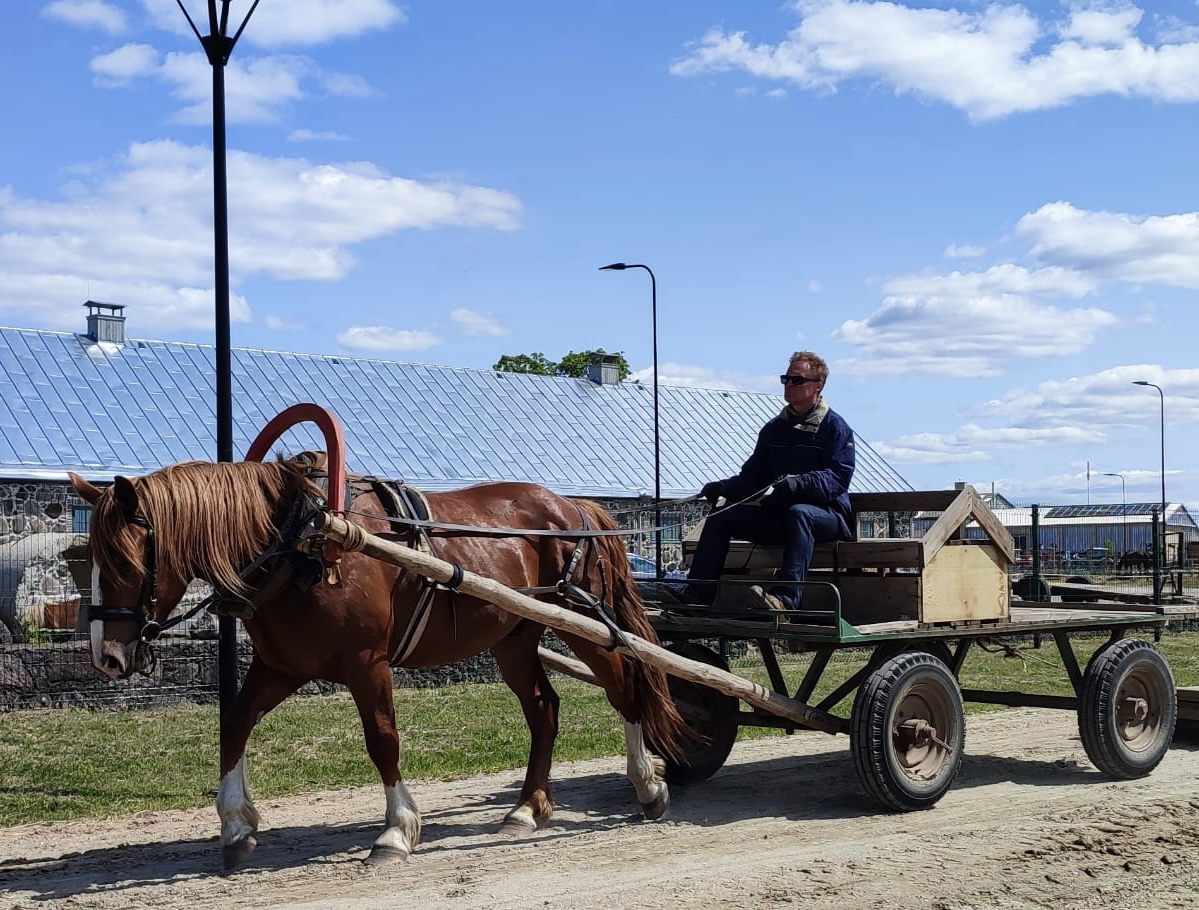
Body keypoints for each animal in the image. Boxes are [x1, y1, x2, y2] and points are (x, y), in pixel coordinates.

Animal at [68, 457, 685, 872]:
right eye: (86, 557)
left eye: (125, 561)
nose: (106, 657)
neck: (302, 544)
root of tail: (575, 506)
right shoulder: (281, 666)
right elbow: (234, 725)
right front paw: (236, 824)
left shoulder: (368, 665)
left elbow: (382, 740)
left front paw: (396, 830)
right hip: (514, 638)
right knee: (544, 710)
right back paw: (528, 808)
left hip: (584, 624)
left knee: (625, 689)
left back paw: (647, 785)